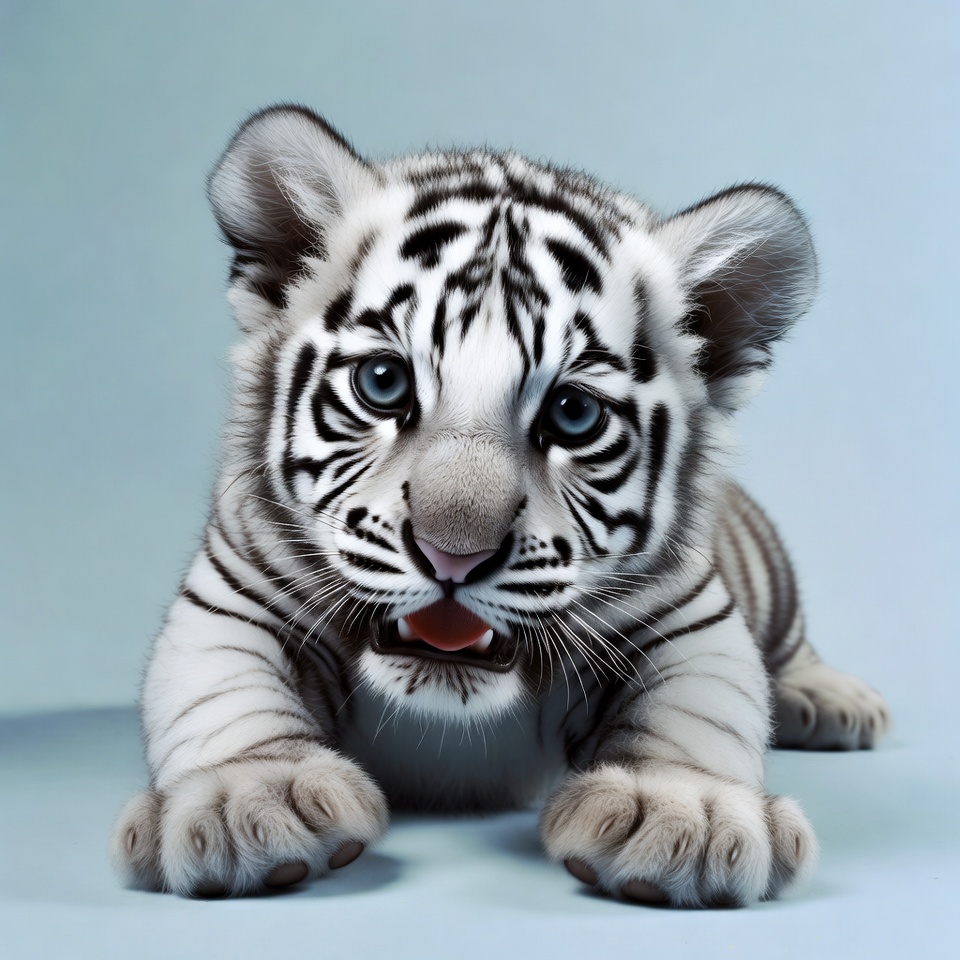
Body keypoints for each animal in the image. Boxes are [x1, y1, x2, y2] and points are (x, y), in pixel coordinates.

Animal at [110, 104, 890, 906]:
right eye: (383, 383)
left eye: (574, 415)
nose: (453, 553)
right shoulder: (234, 594)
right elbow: (223, 691)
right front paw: (246, 802)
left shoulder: (687, 617)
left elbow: (697, 708)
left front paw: (684, 815)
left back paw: (832, 701)